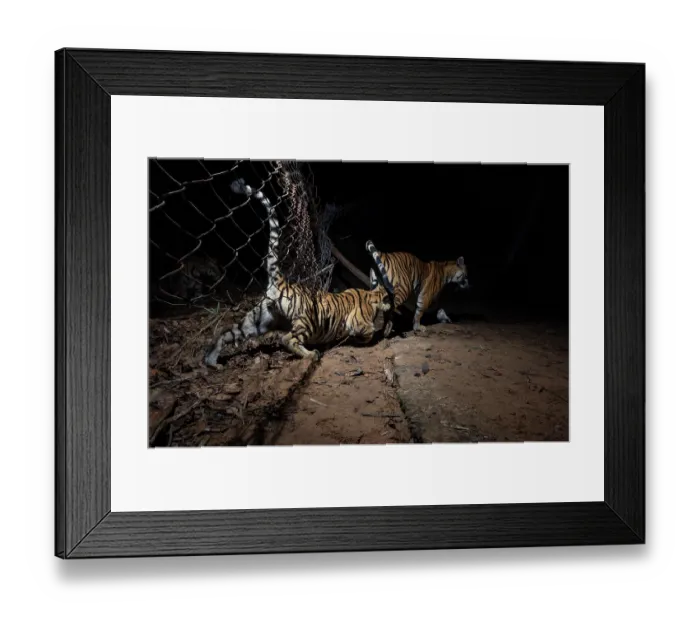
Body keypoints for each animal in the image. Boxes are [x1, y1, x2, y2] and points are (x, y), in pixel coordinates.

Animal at [204, 181, 394, 366]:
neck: (373, 296)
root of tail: (280, 282)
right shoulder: (357, 322)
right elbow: (368, 331)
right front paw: (362, 338)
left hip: (256, 322)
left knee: (226, 334)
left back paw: (211, 360)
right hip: (308, 321)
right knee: (288, 339)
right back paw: (311, 354)